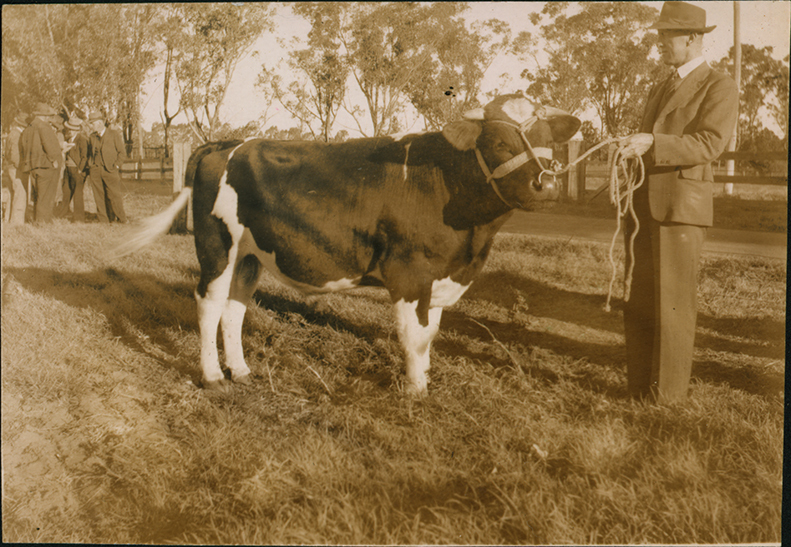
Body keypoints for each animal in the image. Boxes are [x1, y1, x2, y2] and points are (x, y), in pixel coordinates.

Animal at [113, 94, 581, 396]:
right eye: (499, 142)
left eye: (548, 141)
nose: (546, 185)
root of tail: (227, 142)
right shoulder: (409, 273)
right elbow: (412, 336)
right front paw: (415, 391)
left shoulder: (440, 277)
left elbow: (429, 335)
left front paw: (425, 380)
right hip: (217, 246)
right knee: (209, 304)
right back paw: (212, 377)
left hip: (249, 255)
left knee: (235, 306)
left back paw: (241, 370)